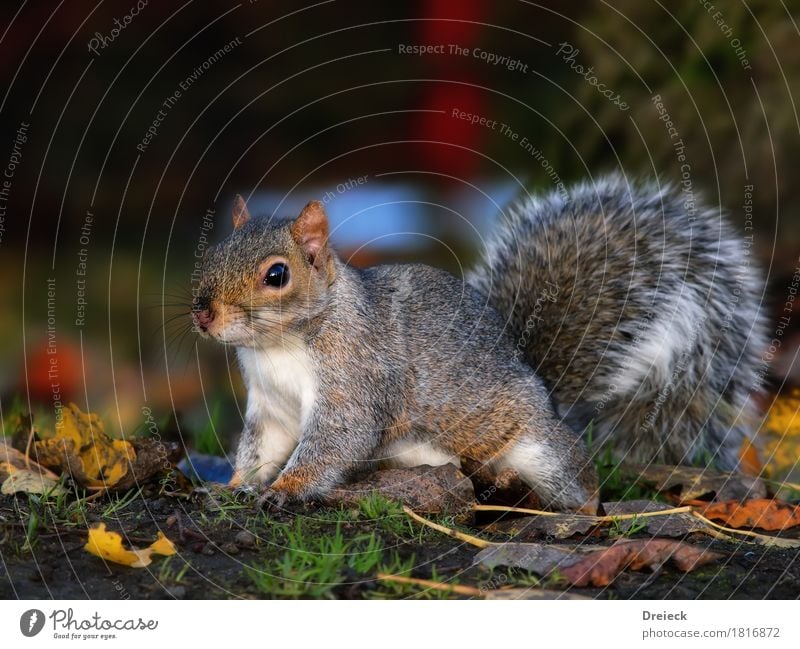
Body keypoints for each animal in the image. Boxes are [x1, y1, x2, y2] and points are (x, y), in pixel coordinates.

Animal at [191, 175, 764, 508]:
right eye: (213, 254)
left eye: (277, 275)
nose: (204, 314)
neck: (280, 347)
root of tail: (544, 390)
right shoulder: (271, 405)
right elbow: (262, 446)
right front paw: (235, 486)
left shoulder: (355, 382)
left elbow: (334, 442)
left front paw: (285, 490)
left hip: (537, 445)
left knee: (575, 475)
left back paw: (581, 514)